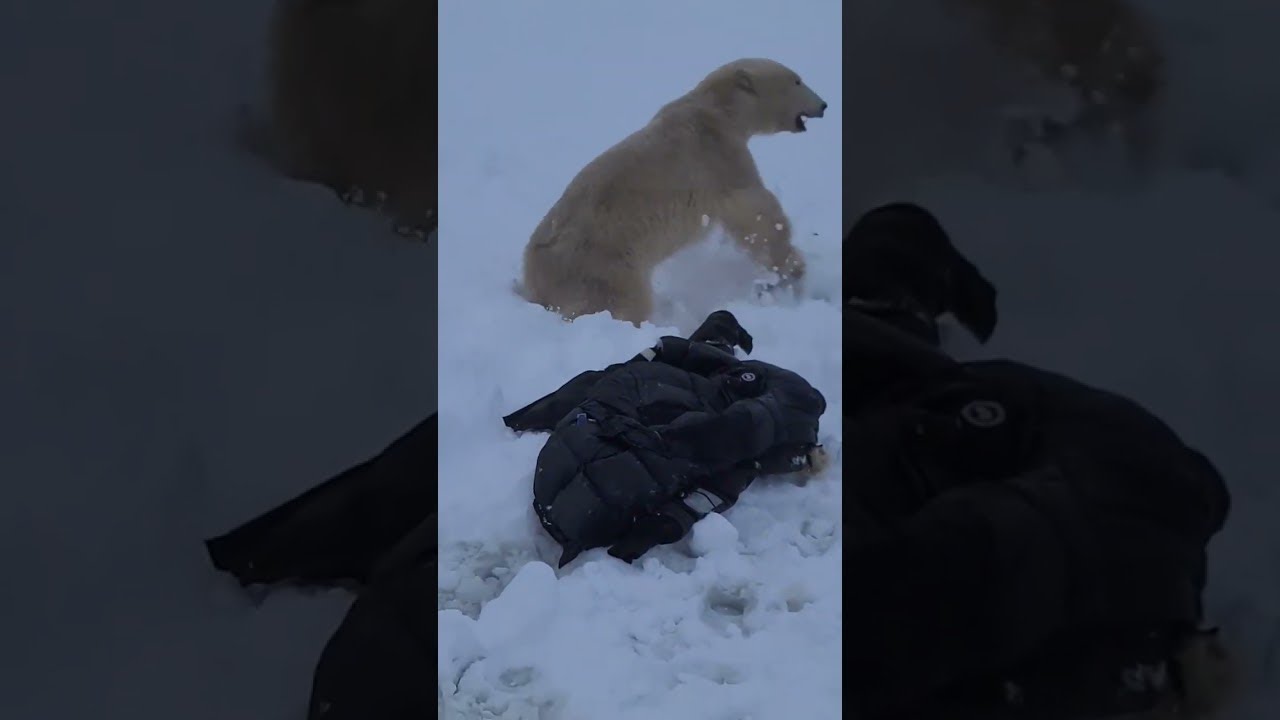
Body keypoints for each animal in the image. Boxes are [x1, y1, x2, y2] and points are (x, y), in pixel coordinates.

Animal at [521, 58, 827, 325]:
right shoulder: (719, 156)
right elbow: (753, 209)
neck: (717, 109)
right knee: (622, 303)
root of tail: (533, 276)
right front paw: (791, 268)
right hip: (603, 267)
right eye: (797, 80)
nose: (824, 104)